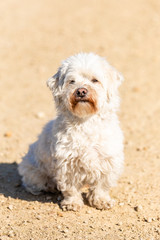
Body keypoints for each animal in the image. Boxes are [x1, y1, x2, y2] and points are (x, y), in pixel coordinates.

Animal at [18, 52, 124, 210]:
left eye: (95, 80)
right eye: (71, 81)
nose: (81, 91)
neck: (86, 122)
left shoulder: (107, 160)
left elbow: (101, 186)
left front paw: (101, 200)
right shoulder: (67, 163)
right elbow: (70, 187)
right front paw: (72, 203)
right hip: (32, 170)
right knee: (32, 183)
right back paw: (50, 186)